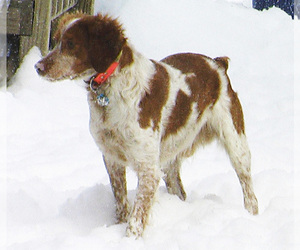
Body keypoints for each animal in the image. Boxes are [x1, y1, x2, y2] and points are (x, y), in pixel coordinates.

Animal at [34, 12, 258, 237]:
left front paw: (130, 239)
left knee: (250, 192)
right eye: (56, 40)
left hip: (236, 145)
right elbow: (121, 202)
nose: (38, 67)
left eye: (71, 43)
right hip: (170, 159)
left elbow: (137, 217)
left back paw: (252, 217)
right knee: (179, 189)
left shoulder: (148, 167)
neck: (110, 90)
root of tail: (217, 64)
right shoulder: (112, 157)